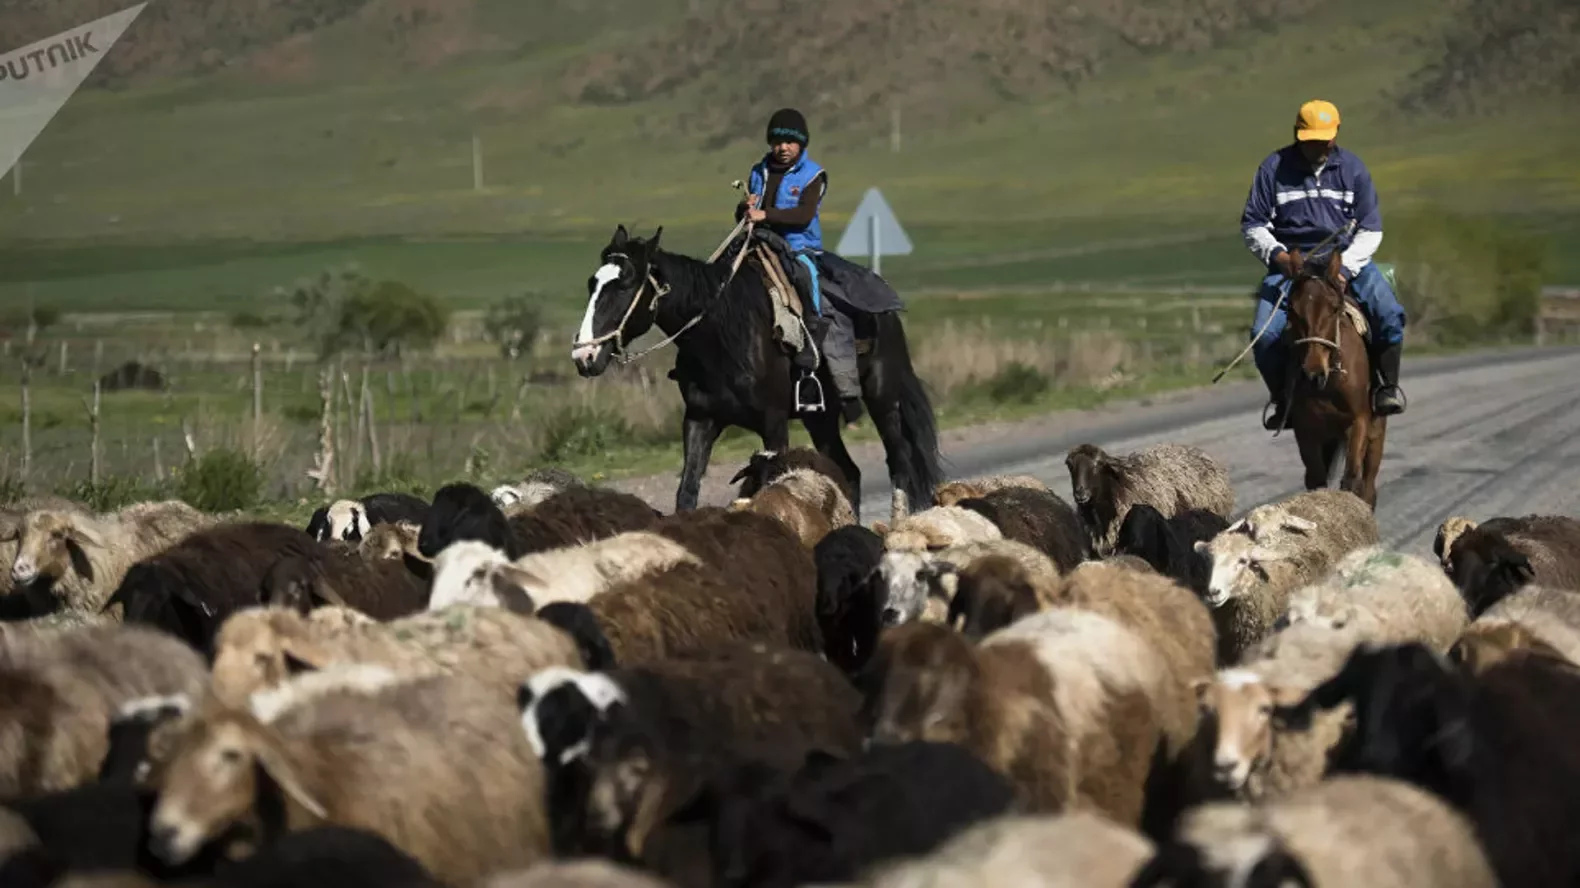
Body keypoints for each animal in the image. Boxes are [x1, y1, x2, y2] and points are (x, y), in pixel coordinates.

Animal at [575, 224, 941, 515]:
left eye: (625, 284)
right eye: (592, 283)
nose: (584, 355)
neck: (721, 336)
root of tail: (888, 312)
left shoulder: (773, 422)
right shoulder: (700, 419)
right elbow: (687, 490)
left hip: (882, 399)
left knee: (899, 462)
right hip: (820, 417)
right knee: (849, 471)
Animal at [1282, 244, 1384, 508]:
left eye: (1334, 308)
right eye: (1291, 309)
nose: (1313, 373)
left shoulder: (1359, 421)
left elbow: (1351, 480)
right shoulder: (1307, 430)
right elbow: (1317, 480)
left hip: (1375, 433)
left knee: (1368, 486)